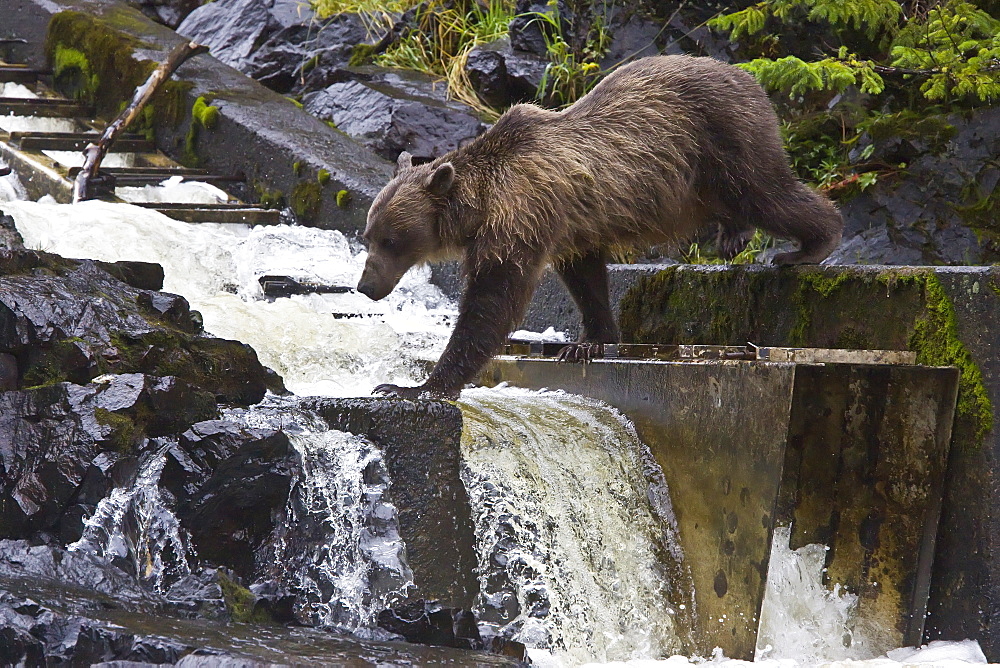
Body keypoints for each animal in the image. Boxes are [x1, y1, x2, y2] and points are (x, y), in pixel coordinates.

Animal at [360, 54, 844, 400]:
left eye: (391, 240)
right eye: (368, 237)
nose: (365, 285)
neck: (480, 206)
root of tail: (747, 75)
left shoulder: (519, 220)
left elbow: (492, 301)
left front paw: (412, 387)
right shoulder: (570, 225)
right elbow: (586, 278)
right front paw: (589, 341)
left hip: (723, 138)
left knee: (766, 192)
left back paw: (809, 246)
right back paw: (733, 236)